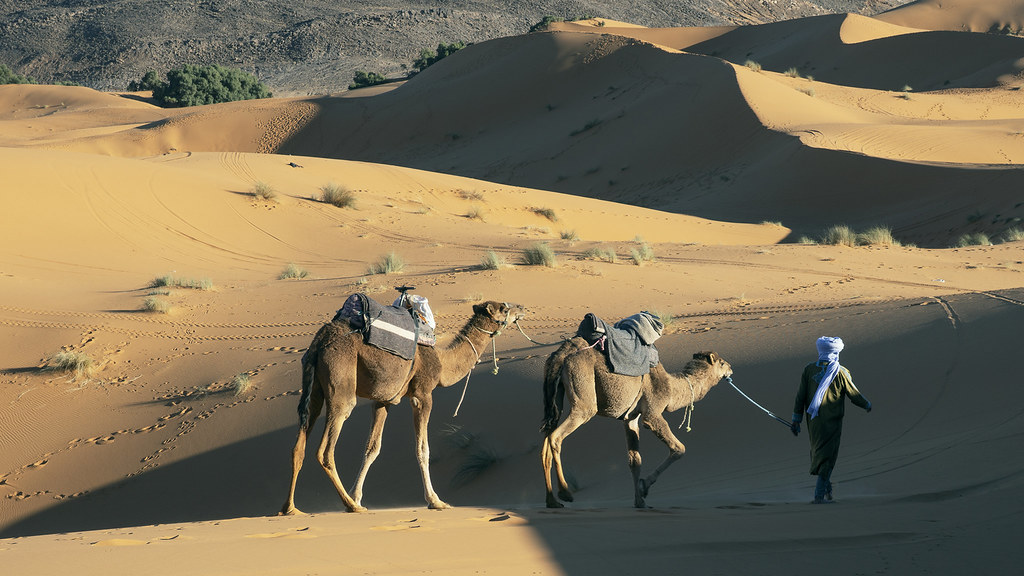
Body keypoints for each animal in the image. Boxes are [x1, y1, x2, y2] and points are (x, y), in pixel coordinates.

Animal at [280, 300, 525, 515]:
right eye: (504, 309)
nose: (521, 308)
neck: (441, 361)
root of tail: (320, 341)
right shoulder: (422, 395)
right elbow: (423, 449)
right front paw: (436, 501)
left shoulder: (384, 400)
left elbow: (372, 448)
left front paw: (357, 495)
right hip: (340, 383)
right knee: (325, 450)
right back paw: (350, 506)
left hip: (314, 390)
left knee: (298, 446)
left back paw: (291, 508)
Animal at [541, 345, 732, 508]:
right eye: (721, 363)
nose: (730, 368)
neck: (671, 387)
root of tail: (562, 359)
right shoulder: (652, 413)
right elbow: (679, 448)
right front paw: (644, 487)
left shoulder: (631, 418)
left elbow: (635, 460)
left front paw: (640, 502)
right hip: (583, 398)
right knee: (556, 437)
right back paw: (565, 493)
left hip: (556, 398)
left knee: (546, 441)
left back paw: (552, 501)